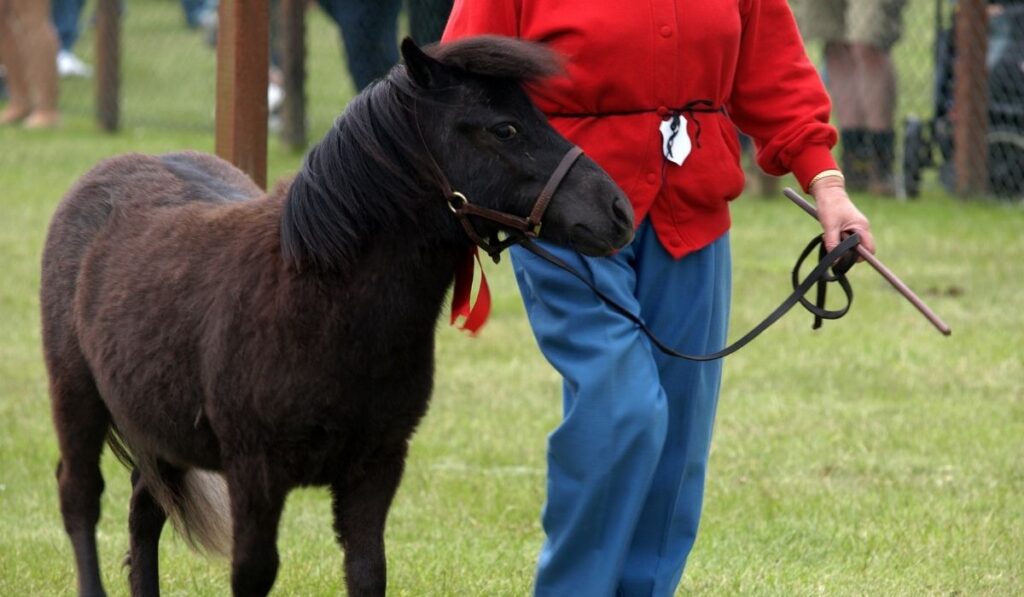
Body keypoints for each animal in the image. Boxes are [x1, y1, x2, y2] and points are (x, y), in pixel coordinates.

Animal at [39, 36, 634, 597]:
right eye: (504, 129)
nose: (619, 212)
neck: (320, 299)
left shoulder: (375, 466)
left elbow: (368, 571)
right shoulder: (255, 471)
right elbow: (253, 573)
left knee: (145, 510)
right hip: (77, 396)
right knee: (80, 496)